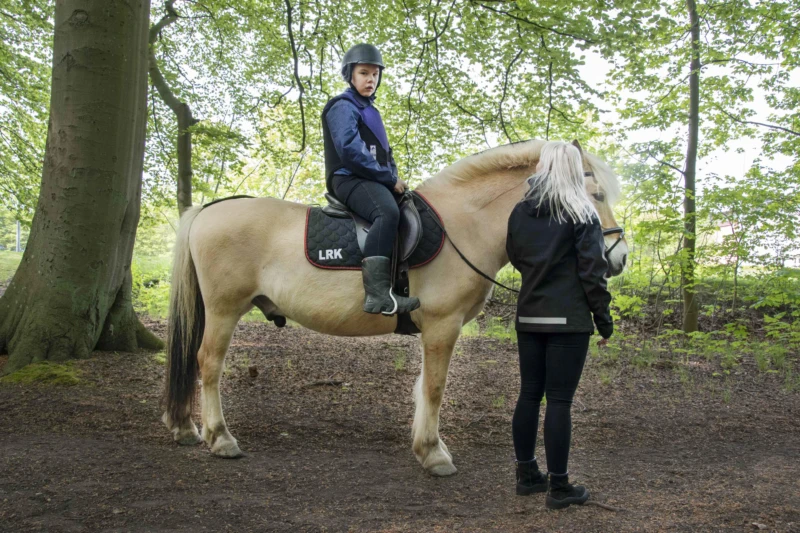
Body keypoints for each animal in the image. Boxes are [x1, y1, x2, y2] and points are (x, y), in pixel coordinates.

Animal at [161, 137, 624, 474]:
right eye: (595, 193)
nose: (616, 258)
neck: (463, 224)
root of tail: (209, 209)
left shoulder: (434, 330)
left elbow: (423, 387)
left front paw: (425, 445)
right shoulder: (442, 325)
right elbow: (435, 388)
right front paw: (433, 453)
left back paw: (184, 427)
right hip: (223, 311)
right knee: (208, 364)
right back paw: (220, 437)